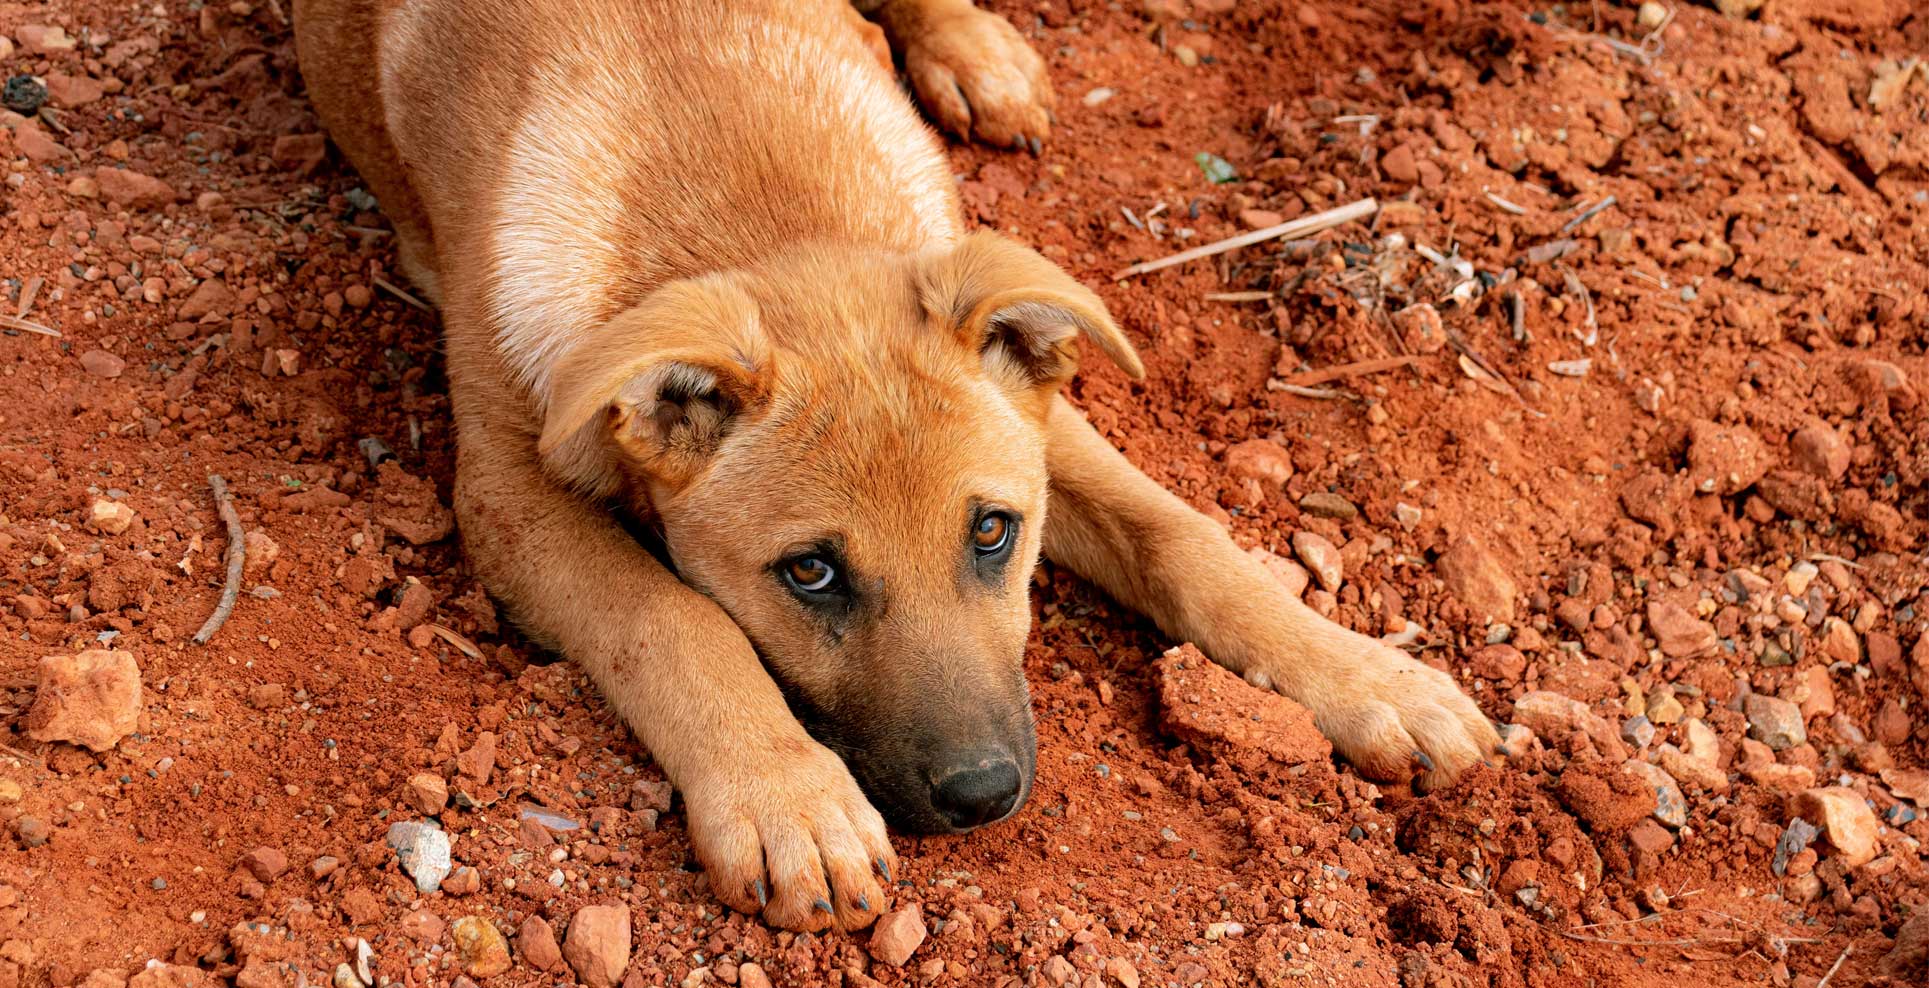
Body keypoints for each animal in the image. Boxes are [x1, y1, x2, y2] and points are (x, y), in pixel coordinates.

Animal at [293, 0, 1496, 933]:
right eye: (811, 572)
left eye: (993, 531)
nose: (985, 797)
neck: (749, 201)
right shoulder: (506, 493)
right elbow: (672, 619)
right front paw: (787, 800)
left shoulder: (1042, 426)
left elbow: (1186, 537)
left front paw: (1372, 679)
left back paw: (978, 56)